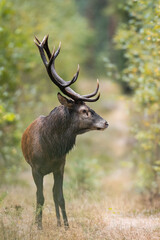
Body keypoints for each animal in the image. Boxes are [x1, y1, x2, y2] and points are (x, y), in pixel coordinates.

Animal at [21, 35, 108, 229]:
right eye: (84, 110)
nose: (105, 122)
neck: (50, 148)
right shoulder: (35, 169)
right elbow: (40, 197)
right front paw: (39, 227)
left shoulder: (60, 166)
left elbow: (60, 197)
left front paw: (66, 227)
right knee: (41, 195)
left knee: (54, 194)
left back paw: (59, 223)